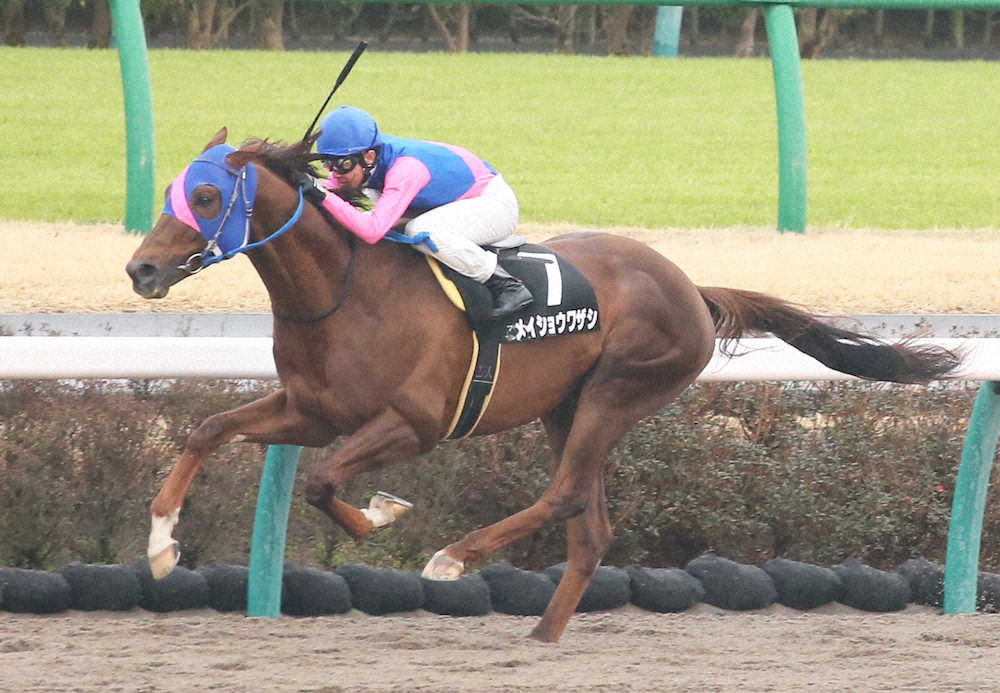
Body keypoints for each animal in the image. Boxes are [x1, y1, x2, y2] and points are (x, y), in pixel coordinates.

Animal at [127, 130, 960, 644]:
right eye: (171, 191)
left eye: (208, 199)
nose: (140, 268)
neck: (346, 291)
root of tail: (691, 286)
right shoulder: (311, 409)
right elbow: (210, 431)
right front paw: (163, 545)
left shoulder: (414, 421)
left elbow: (327, 481)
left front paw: (387, 513)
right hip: (567, 404)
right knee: (590, 528)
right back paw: (541, 635)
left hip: (618, 390)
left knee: (564, 496)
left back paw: (454, 556)